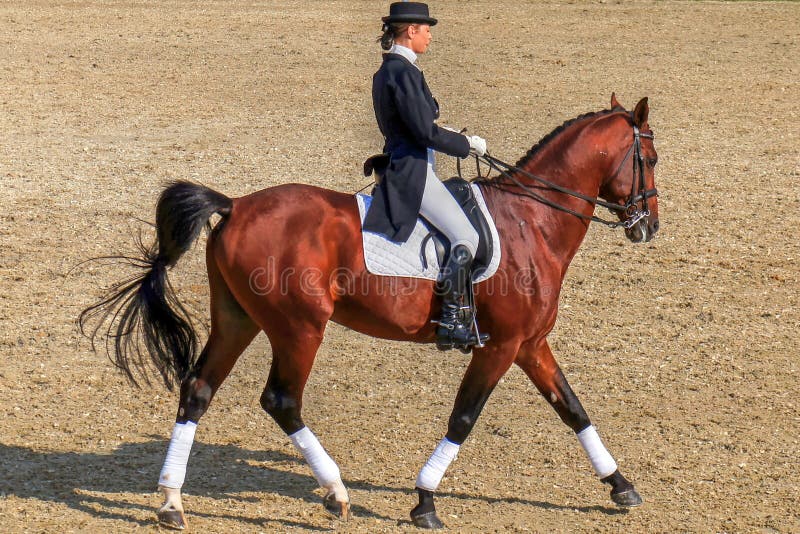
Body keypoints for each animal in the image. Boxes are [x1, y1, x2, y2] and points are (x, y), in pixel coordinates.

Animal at [78, 94, 660, 528]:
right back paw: (335, 493)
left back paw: (171, 502)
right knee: (281, 400)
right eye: (649, 160)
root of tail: (235, 205)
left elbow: (573, 408)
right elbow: (464, 416)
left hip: (238, 321)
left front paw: (621, 486)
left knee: (198, 390)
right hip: (299, 327)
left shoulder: (531, 344)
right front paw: (424, 501)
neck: (531, 221)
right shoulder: (501, 346)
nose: (648, 226)